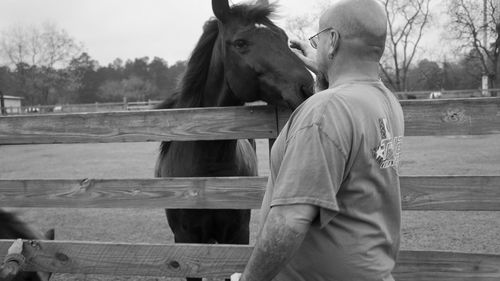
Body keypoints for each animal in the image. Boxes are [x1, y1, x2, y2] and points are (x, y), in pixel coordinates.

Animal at [154, 0, 314, 278]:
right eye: (240, 43)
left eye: (284, 38)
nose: (307, 87)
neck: (207, 175)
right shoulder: (186, 243)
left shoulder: (237, 236)